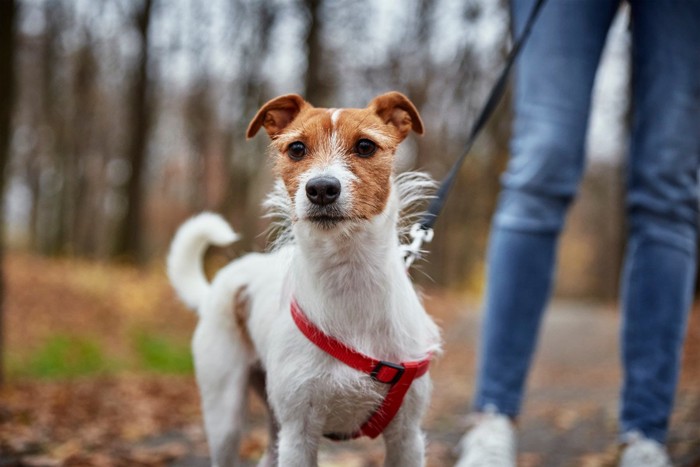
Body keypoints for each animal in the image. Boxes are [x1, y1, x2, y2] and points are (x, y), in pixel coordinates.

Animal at [168, 92, 442, 467]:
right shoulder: (299, 434)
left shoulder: (407, 436)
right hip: (225, 414)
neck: (348, 277)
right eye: (297, 148)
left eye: (365, 146)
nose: (322, 188)